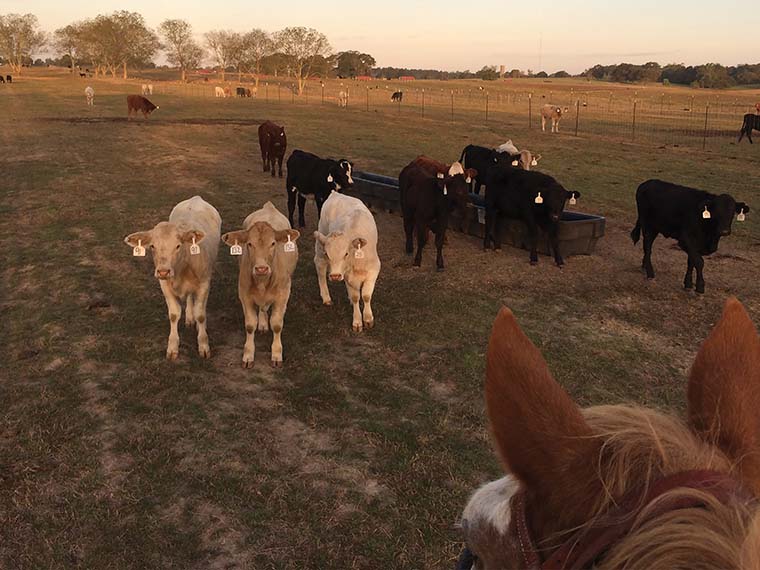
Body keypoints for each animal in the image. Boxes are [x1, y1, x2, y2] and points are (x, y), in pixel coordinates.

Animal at [121, 195, 221, 360]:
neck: (181, 268)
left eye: (178, 246)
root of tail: (196, 198)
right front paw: (173, 347)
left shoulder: (204, 284)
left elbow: (201, 314)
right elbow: (174, 315)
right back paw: (189, 317)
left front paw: (203, 345)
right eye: (152, 246)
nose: (163, 271)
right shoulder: (165, 285)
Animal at [220, 202, 300, 366]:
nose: (261, 268)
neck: (263, 282)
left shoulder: (283, 295)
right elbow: (250, 325)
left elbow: (277, 324)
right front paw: (248, 354)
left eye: (273, 243)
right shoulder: (244, 294)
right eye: (249, 244)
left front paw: (276, 354)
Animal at [312, 191, 380, 330]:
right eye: (327, 254)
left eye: (346, 254)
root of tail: (335, 193)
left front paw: (368, 318)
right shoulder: (349, 275)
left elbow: (366, 296)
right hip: (321, 236)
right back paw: (326, 297)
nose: (335, 276)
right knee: (320, 266)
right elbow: (356, 297)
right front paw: (357, 321)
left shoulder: (373, 271)